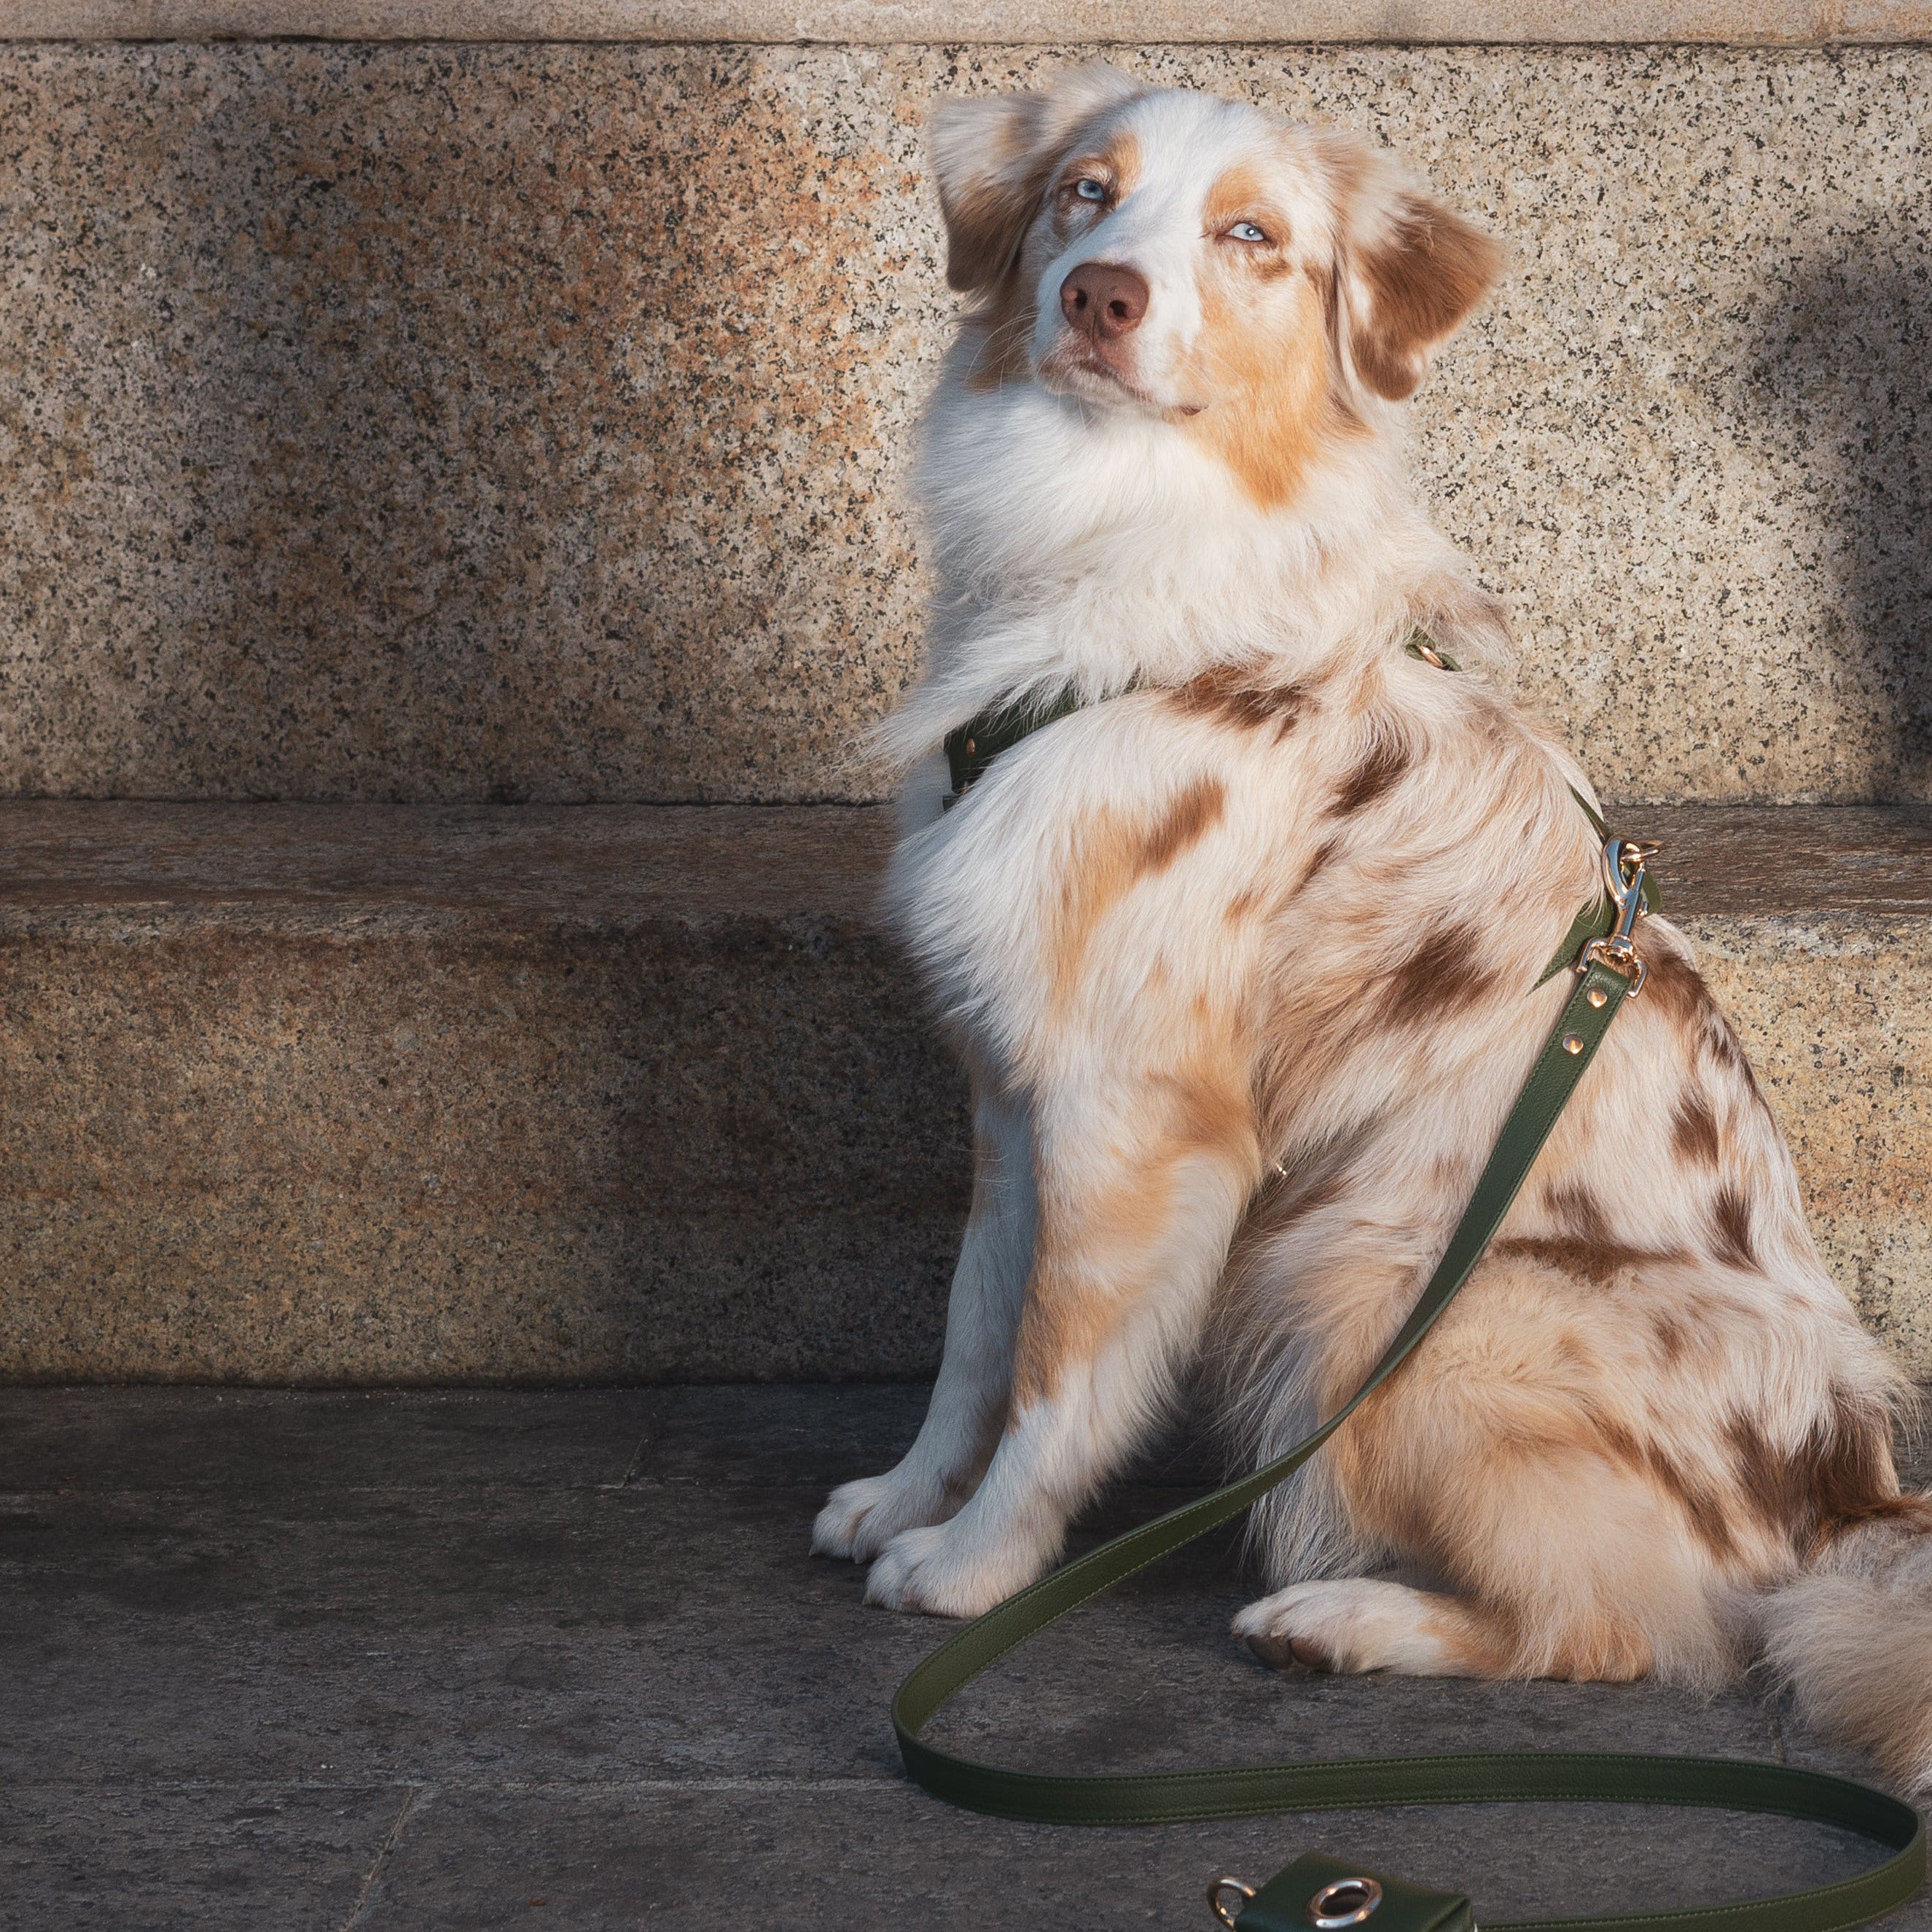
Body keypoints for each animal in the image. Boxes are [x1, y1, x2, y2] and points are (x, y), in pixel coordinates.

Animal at [807, 64, 1932, 1793]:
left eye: (1250, 237)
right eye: (1081, 193)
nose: (1099, 295)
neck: (1119, 548)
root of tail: (1850, 1498)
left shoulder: (1138, 1116)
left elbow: (1059, 1365)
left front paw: (976, 1566)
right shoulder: (1011, 1082)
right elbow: (969, 1327)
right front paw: (908, 1496)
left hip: (1371, 1276)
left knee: (1631, 1625)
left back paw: (1340, 1618)